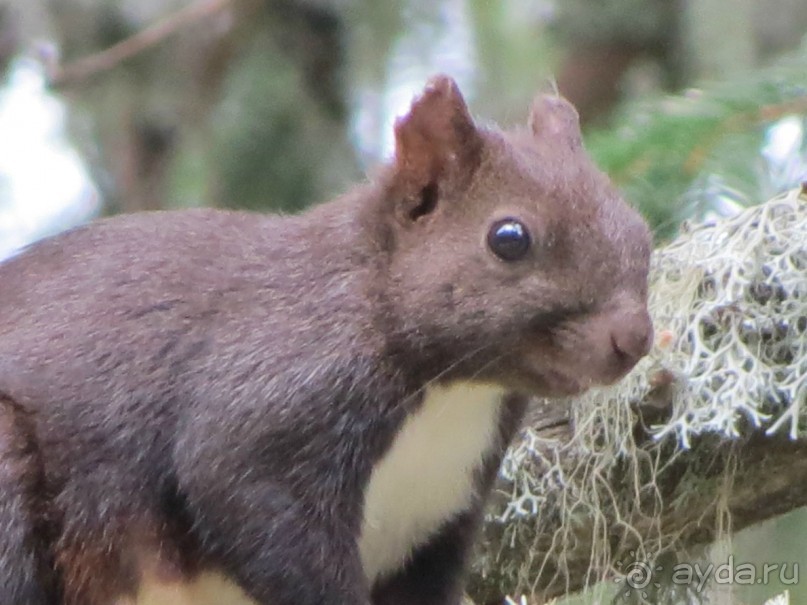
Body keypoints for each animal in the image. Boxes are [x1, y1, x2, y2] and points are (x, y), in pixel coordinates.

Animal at [0, 76, 652, 604]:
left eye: (640, 229)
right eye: (509, 238)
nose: (635, 337)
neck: (451, 392)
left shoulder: (443, 513)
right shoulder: (271, 402)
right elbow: (239, 493)